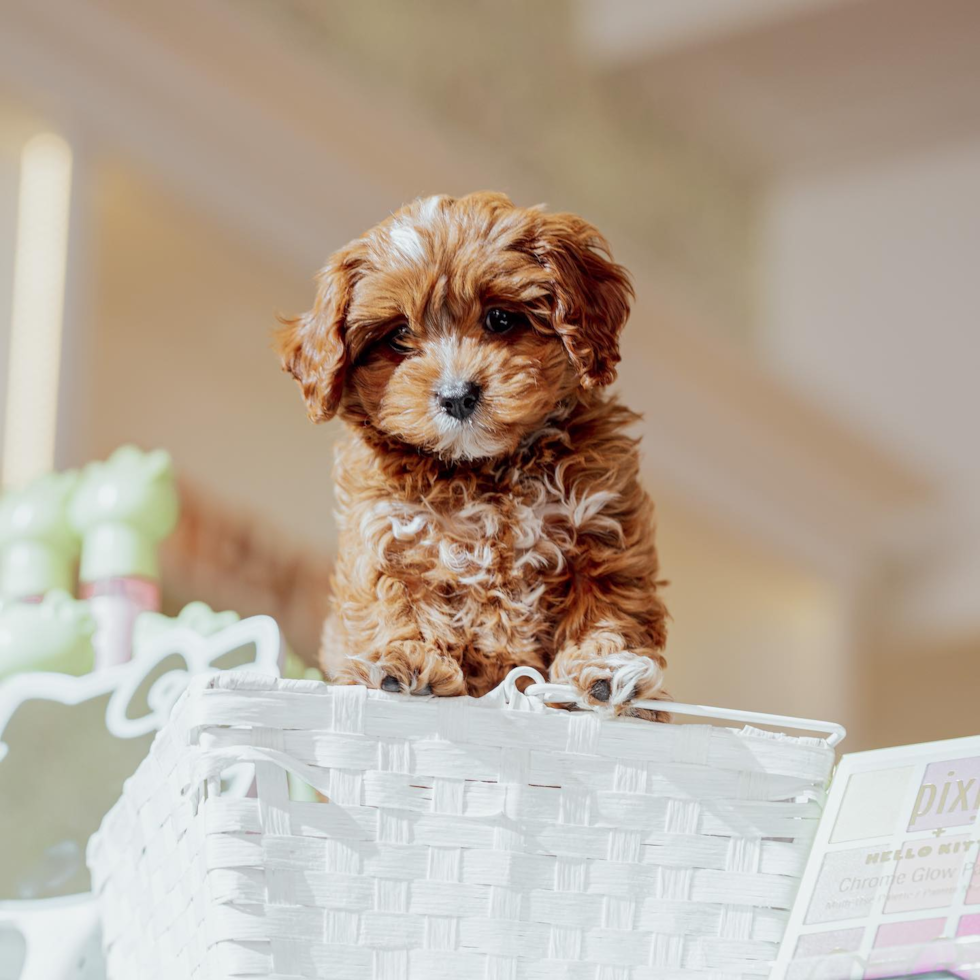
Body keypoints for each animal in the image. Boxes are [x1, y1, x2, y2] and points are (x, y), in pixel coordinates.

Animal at [280, 191, 668, 716]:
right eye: (399, 336)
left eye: (500, 319)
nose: (457, 395)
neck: (485, 469)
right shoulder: (387, 534)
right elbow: (391, 600)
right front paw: (405, 659)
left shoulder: (605, 532)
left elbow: (608, 609)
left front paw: (608, 669)